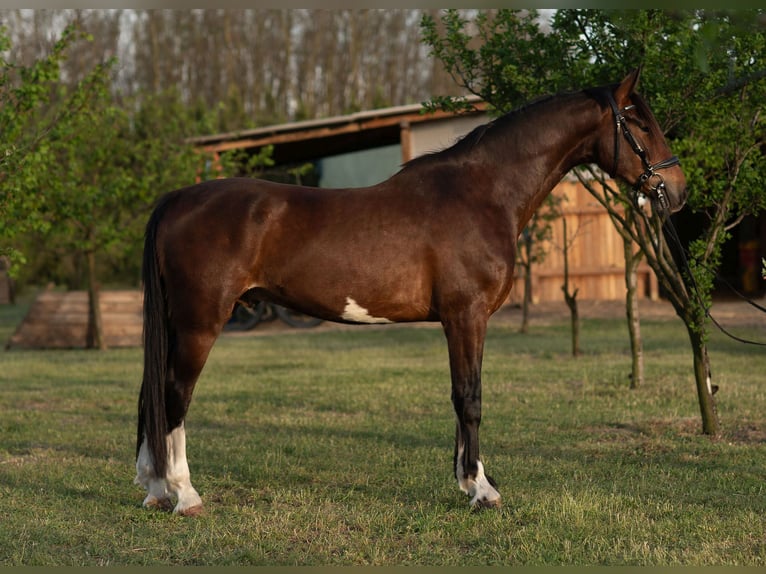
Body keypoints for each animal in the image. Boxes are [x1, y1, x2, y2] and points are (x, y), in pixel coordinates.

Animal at [135, 68, 687, 515]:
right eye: (640, 124)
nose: (677, 191)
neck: (482, 193)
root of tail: (176, 199)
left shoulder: (463, 321)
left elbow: (460, 397)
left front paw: (468, 480)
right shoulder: (467, 315)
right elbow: (470, 398)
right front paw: (481, 491)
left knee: (150, 394)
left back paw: (155, 488)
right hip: (200, 322)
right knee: (175, 394)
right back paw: (184, 494)